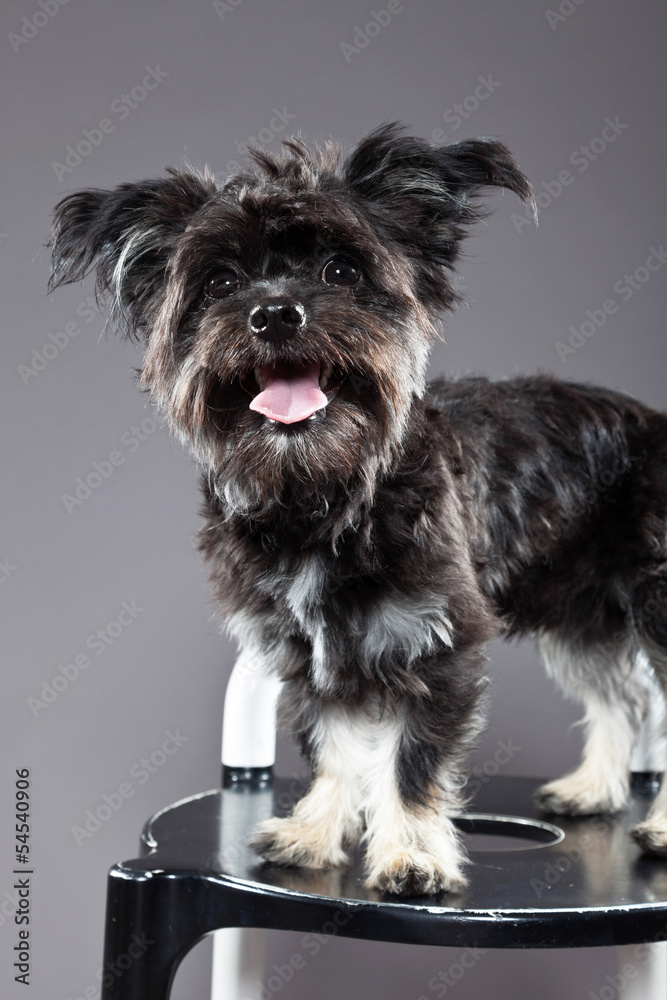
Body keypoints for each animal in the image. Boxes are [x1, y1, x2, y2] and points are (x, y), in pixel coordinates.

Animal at [51, 121, 667, 896]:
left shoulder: (437, 642)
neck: (321, 493)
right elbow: (335, 747)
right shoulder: (311, 652)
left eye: (341, 272)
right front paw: (317, 831)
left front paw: (411, 856)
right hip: (578, 614)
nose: (274, 312)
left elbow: (411, 762)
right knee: (625, 696)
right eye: (219, 282)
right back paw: (593, 789)